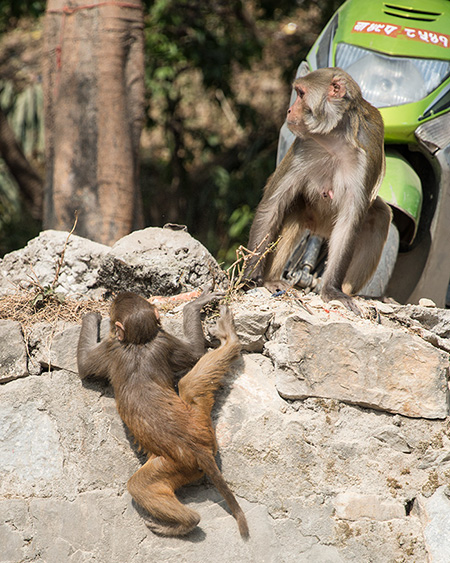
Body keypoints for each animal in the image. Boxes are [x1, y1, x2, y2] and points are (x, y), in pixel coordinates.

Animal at [76, 290, 246, 536]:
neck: (139, 342)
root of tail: (199, 449)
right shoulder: (162, 340)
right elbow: (196, 353)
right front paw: (195, 306)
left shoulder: (113, 346)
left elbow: (83, 367)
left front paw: (90, 316)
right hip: (199, 421)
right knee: (188, 384)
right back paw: (231, 341)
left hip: (176, 464)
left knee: (139, 485)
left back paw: (185, 522)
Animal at [244, 68, 392, 316]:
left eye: (301, 94)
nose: (289, 110)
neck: (334, 140)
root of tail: (319, 229)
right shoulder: (301, 147)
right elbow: (272, 205)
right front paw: (250, 276)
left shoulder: (364, 157)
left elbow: (349, 223)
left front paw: (332, 290)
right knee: (292, 210)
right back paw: (272, 280)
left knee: (378, 216)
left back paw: (349, 291)